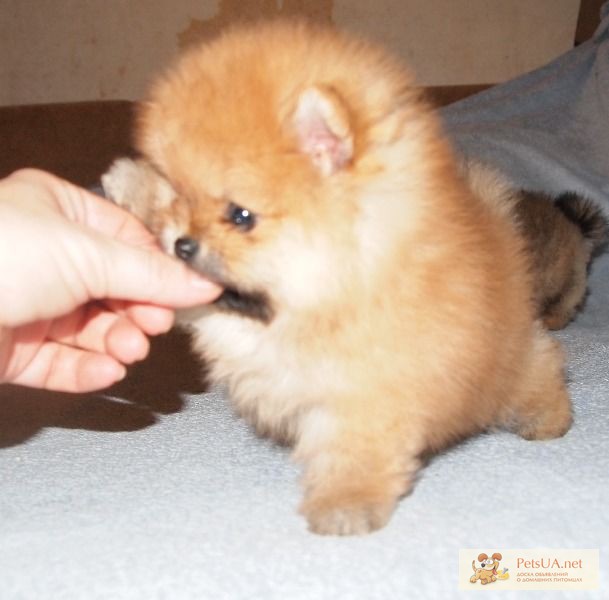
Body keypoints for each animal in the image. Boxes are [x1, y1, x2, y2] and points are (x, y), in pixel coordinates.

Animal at [102, 19, 572, 536]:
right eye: (179, 196)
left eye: (241, 215)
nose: (183, 244)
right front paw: (131, 185)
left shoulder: (366, 392)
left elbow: (354, 451)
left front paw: (345, 504)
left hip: (516, 360)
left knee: (541, 364)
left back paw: (550, 417)